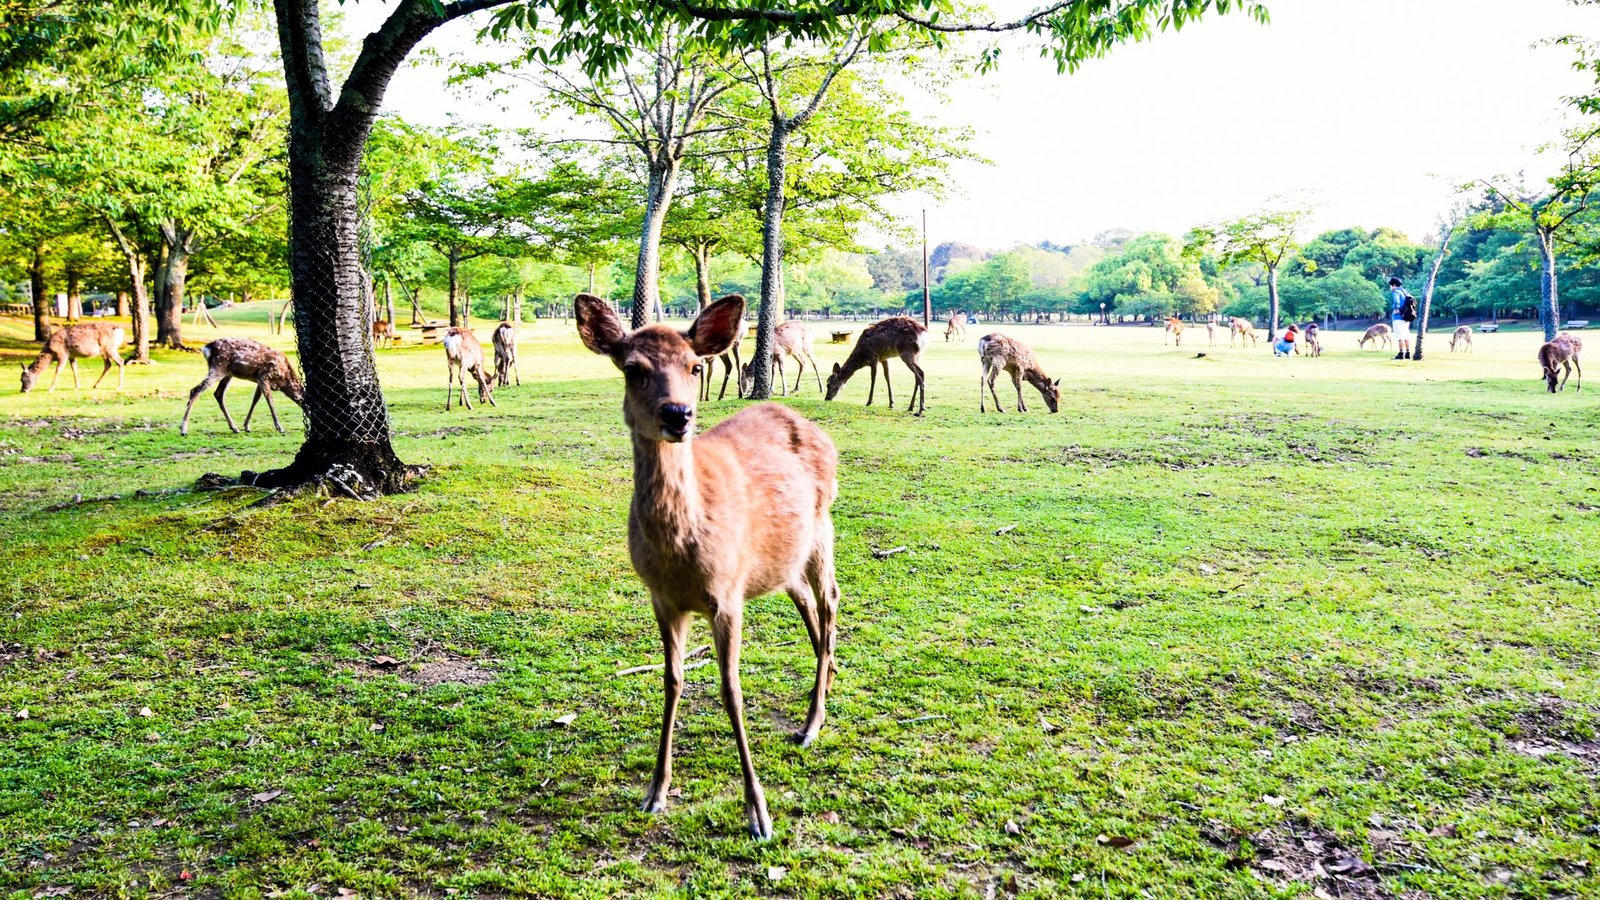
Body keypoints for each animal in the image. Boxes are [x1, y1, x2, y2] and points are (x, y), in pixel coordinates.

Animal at [573, 292, 840, 841]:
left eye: (695, 366)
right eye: (633, 369)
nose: (679, 414)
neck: (681, 554)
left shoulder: (728, 593)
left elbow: (731, 690)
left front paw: (759, 813)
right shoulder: (661, 599)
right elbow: (672, 680)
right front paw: (654, 791)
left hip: (822, 528)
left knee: (830, 602)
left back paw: (812, 722)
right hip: (780, 559)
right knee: (807, 603)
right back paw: (824, 683)